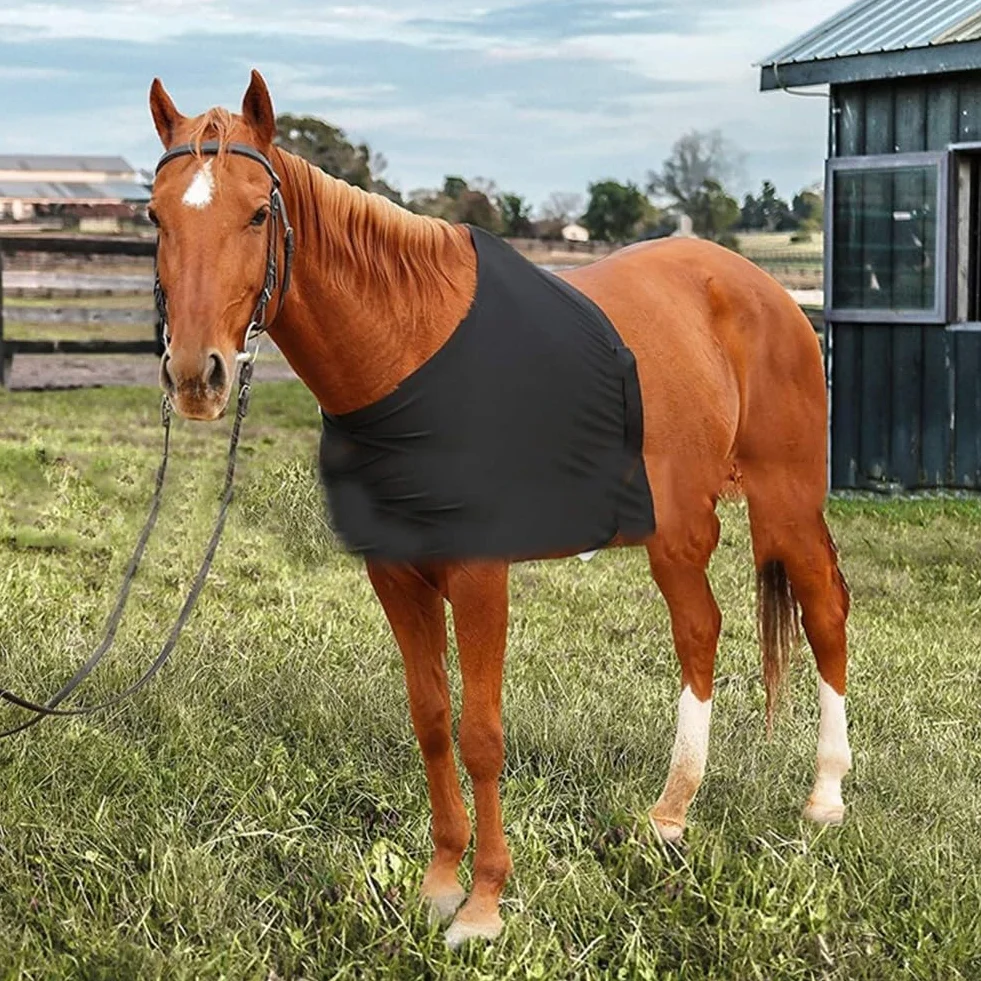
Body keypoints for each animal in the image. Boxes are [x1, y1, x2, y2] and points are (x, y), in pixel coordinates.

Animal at [147, 70, 852, 948]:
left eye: (254, 213)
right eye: (156, 215)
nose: (195, 375)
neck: (410, 352)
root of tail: (765, 292)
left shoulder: (481, 575)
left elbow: (481, 735)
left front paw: (482, 905)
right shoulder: (396, 576)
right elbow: (431, 719)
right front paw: (439, 883)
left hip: (784, 499)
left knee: (823, 610)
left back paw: (824, 796)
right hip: (676, 526)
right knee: (699, 628)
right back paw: (669, 813)